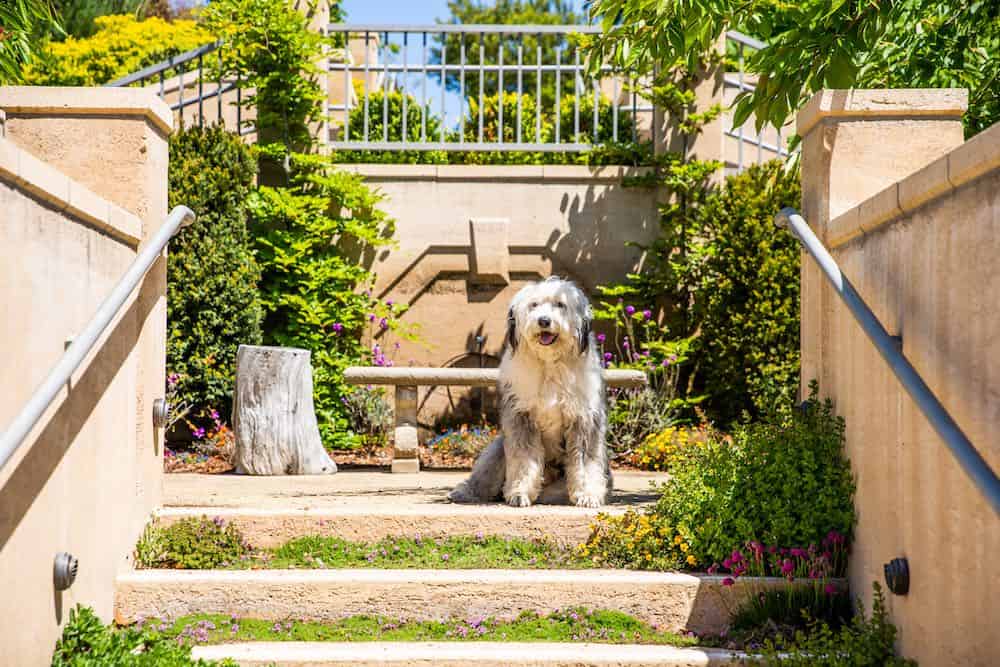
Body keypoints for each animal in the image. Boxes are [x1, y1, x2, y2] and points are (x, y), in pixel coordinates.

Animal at [452, 276, 608, 506]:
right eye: (534, 305)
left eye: (560, 304)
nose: (543, 321)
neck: (549, 364)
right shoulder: (522, 418)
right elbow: (524, 459)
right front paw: (520, 493)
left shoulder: (584, 420)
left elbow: (586, 462)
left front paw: (588, 495)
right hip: (497, 450)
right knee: (485, 477)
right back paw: (466, 492)